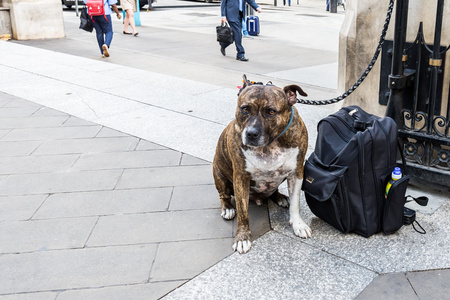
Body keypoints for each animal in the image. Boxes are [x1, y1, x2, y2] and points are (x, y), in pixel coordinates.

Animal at [214, 75, 312, 253]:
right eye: (245, 109)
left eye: (271, 112)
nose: (251, 133)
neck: (270, 144)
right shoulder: (241, 177)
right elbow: (243, 212)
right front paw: (242, 237)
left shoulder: (296, 172)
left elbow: (295, 202)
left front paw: (299, 224)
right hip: (219, 174)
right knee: (224, 195)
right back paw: (228, 208)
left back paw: (280, 197)